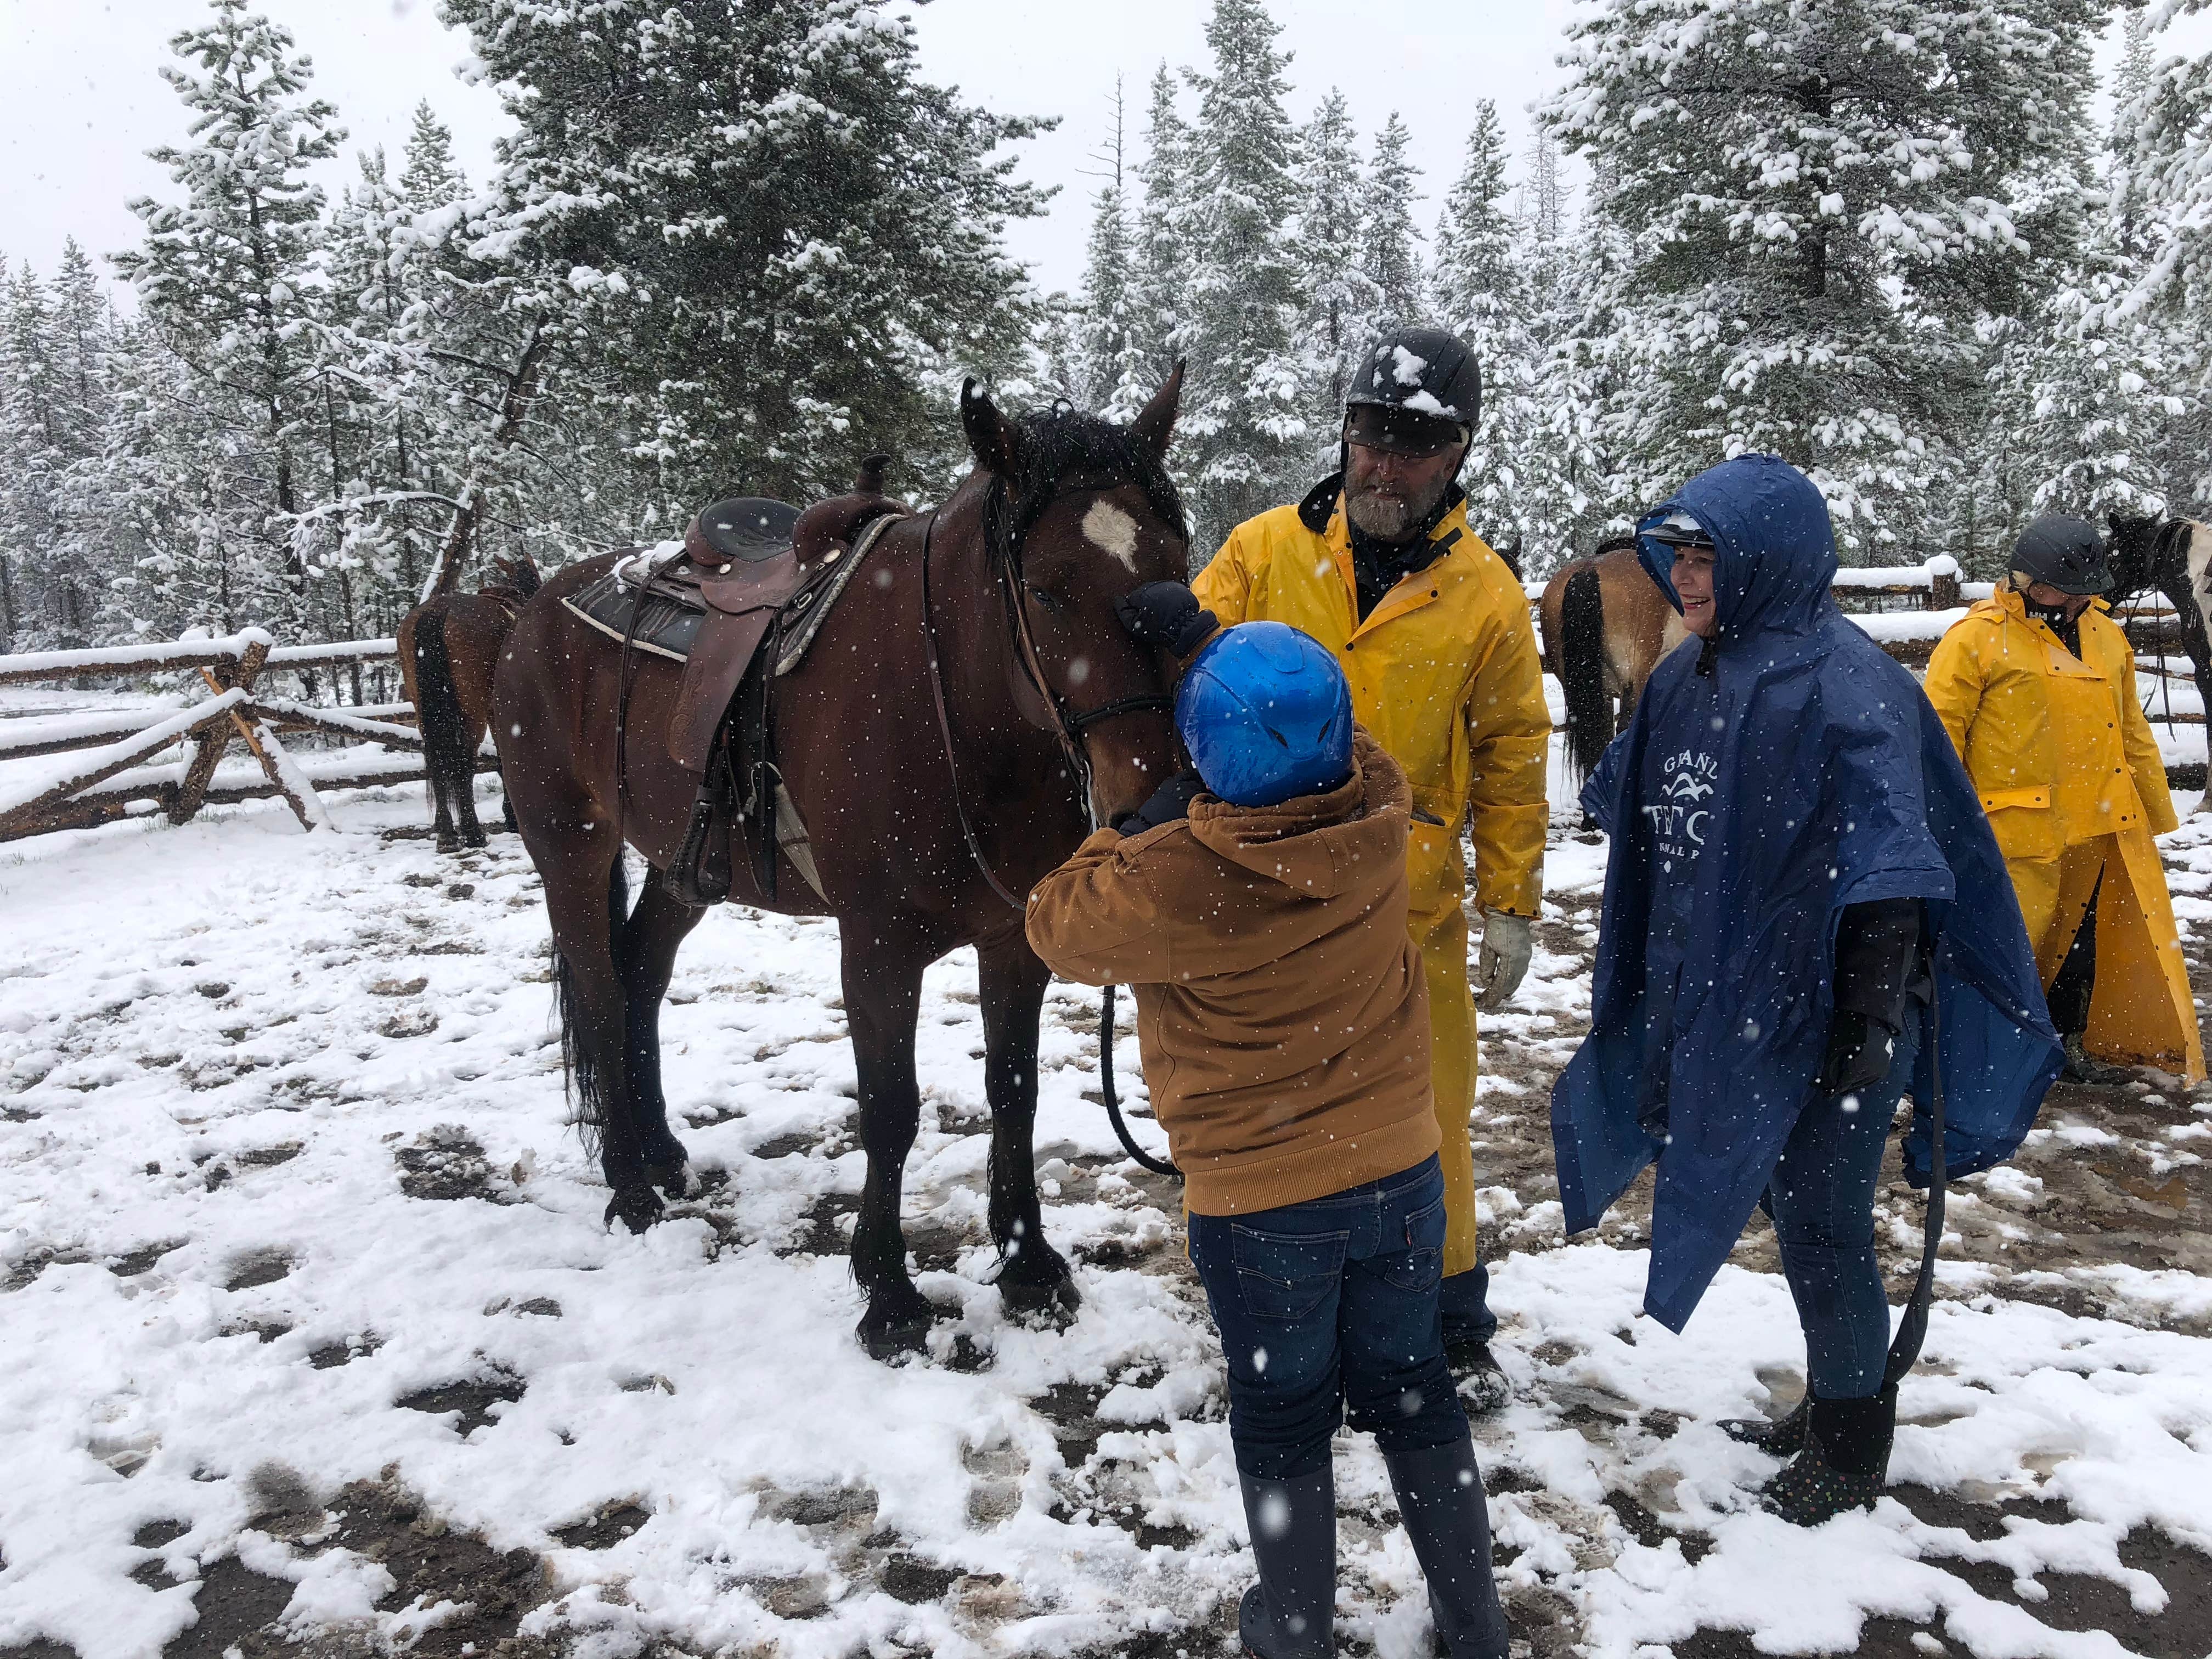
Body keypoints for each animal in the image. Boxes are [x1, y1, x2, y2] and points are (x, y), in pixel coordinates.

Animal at [398, 553, 542, 853]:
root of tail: (438, 610)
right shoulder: (496, 712)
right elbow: (503, 762)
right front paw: (511, 817)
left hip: (426, 712)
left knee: (437, 761)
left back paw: (446, 832)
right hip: (472, 712)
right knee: (464, 761)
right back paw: (472, 830)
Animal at [493, 372, 1189, 1360]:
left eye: (1181, 564)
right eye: (1046, 591)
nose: (1154, 794)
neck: (951, 707)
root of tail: (533, 603)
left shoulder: (1014, 938)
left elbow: (1010, 1089)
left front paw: (1027, 1264)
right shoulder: (877, 946)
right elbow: (890, 1108)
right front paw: (889, 1295)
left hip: (682, 867)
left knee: (640, 974)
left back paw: (664, 1156)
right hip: (572, 847)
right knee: (595, 986)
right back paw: (629, 1185)